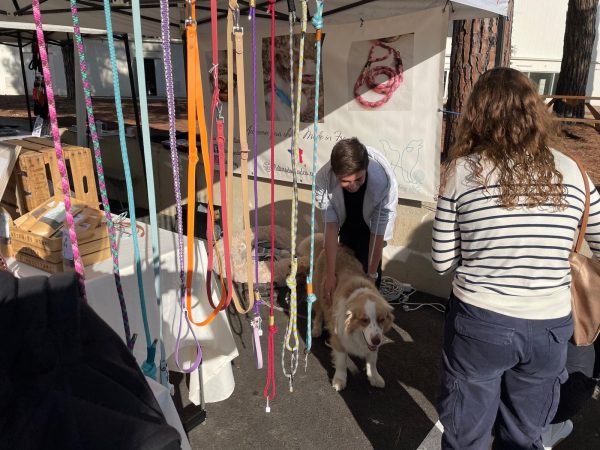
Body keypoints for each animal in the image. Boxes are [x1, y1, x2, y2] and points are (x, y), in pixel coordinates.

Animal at [300, 236, 394, 390]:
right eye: (364, 320)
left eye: (381, 319)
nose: (377, 341)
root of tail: (337, 246)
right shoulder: (339, 338)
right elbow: (341, 362)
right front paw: (339, 380)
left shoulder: (374, 341)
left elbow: (372, 360)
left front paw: (374, 376)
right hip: (321, 294)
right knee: (319, 313)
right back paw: (316, 329)